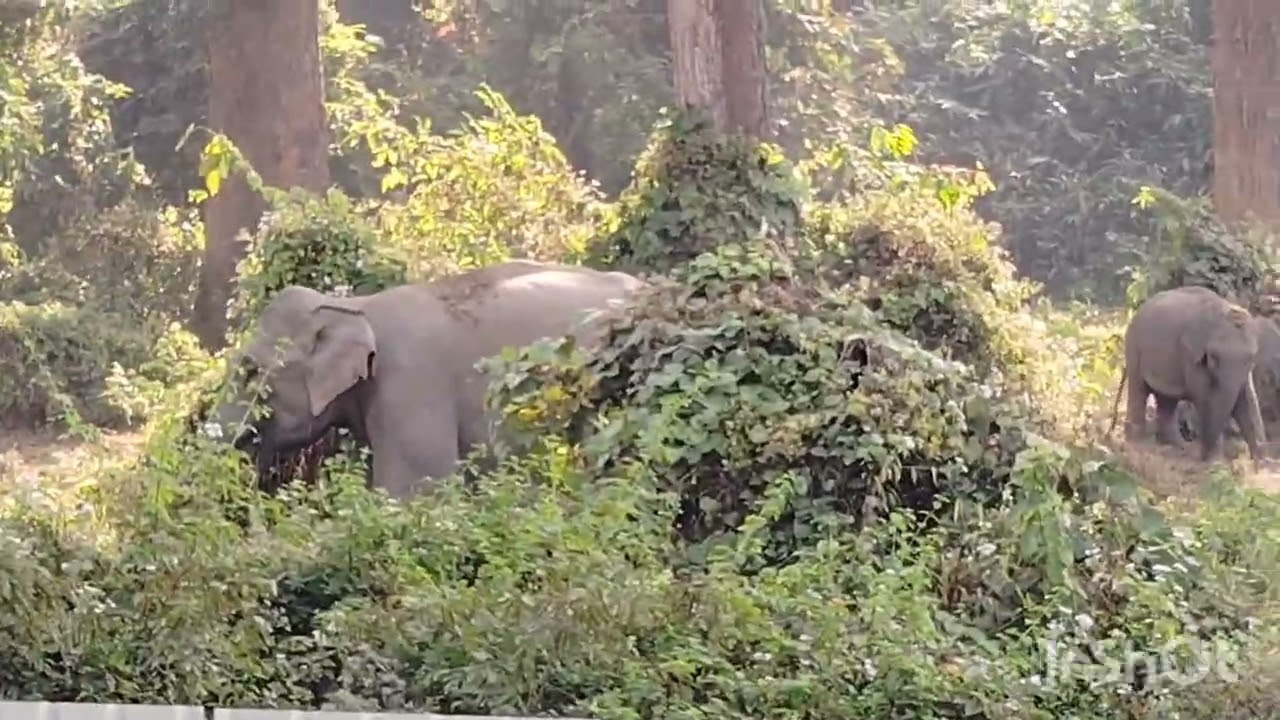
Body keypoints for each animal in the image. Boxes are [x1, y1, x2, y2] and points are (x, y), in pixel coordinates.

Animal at [1107, 284, 1267, 462]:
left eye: (1252, 357)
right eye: (1213, 357)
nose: (1203, 455)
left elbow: (1247, 398)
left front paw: (1259, 461)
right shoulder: (1190, 355)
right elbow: (1205, 397)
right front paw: (1215, 461)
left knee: (1166, 400)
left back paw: (1177, 446)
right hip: (1134, 348)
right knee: (1139, 389)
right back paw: (1138, 444)